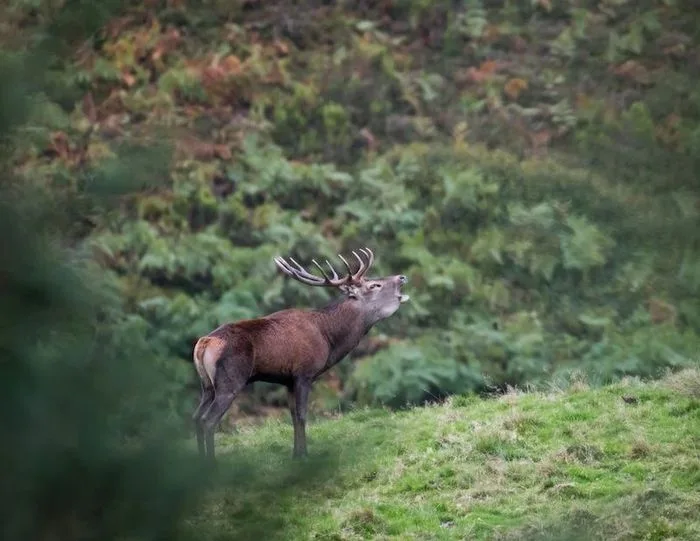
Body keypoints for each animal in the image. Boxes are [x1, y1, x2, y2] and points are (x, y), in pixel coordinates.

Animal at [191, 247, 409, 463]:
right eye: (374, 285)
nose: (402, 277)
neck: (328, 339)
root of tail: (204, 343)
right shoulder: (305, 373)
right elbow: (303, 415)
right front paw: (304, 455)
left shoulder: (288, 380)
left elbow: (294, 416)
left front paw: (296, 454)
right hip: (230, 381)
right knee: (208, 420)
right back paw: (211, 463)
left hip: (207, 385)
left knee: (196, 417)